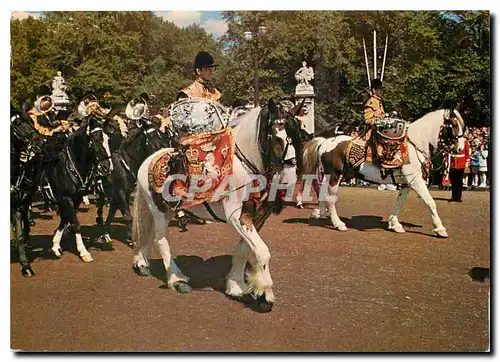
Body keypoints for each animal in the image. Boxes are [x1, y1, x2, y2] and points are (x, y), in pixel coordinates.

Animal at [44, 117, 113, 262]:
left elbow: (65, 220)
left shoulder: (75, 198)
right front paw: (84, 252)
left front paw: (55, 246)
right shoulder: (66, 198)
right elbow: (75, 224)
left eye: (107, 139)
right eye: (96, 140)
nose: (107, 167)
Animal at [95, 116, 168, 246]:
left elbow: (114, 213)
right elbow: (127, 216)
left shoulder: (123, 192)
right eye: (151, 137)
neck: (124, 164)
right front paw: (132, 240)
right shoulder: (120, 192)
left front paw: (107, 234)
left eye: (161, 136)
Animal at [298, 107, 466, 238]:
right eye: (454, 125)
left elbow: (400, 202)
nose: (460, 148)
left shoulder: (406, 182)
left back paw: (320, 212)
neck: (414, 144)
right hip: (335, 176)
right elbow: (430, 202)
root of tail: (325, 141)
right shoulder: (416, 180)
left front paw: (395, 224)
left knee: (321, 192)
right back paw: (338, 223)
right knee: (330, 197)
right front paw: (440, 229)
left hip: (330, 176)